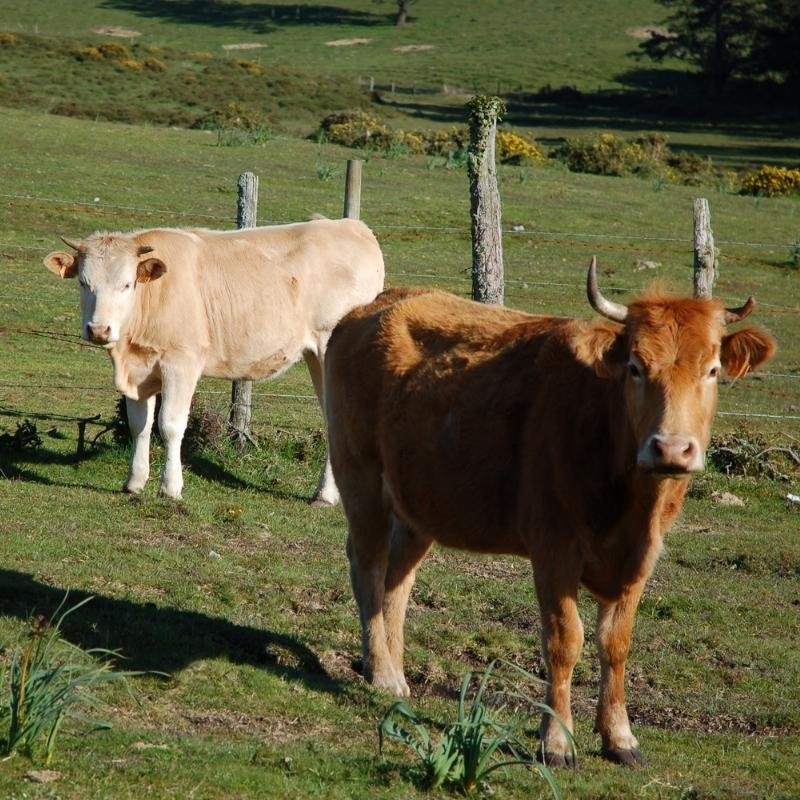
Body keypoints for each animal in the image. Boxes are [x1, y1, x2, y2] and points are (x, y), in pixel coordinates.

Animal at [45, 219, 386, 504]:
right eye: (83, 283)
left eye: (127, 284)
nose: (99, 329)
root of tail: (352, 226)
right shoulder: (140, 371)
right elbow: (139, 425)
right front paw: (134, 482)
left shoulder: (181, 362)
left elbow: (170, 424)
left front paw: (170, 487)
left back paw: (327, 496)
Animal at [324, 260, 776, 764]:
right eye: (636, 368)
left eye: (712, 370)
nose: (672, 449)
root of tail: (374, 306)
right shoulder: (554, 548)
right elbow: (565, 640)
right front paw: (556, 739)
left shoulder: (641, 558)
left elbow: (616, 644)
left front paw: (621, 736)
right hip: (360, 475)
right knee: (368, 566)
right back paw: (382, 672)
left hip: (417, 504)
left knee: (398, 580)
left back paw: (396, 671)